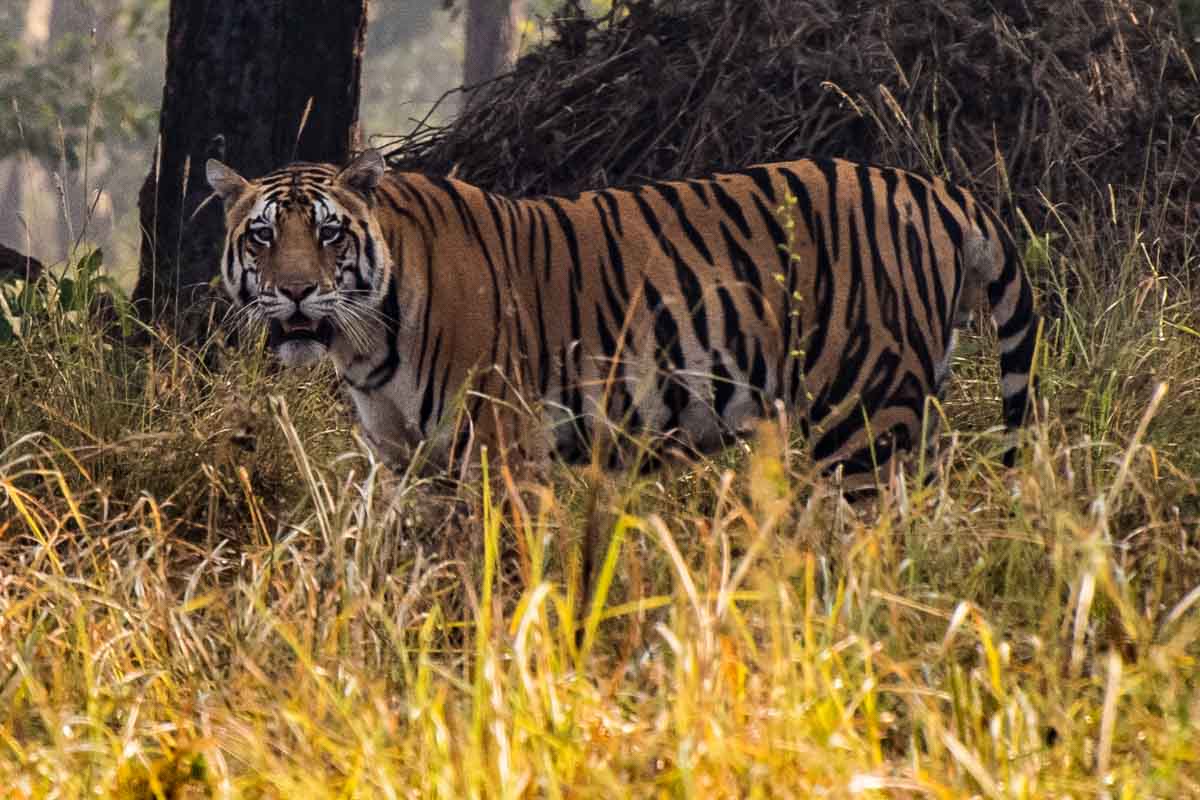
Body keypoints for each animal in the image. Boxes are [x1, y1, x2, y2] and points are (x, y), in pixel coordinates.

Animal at [206, 149, 1041, 489]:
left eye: (329, 234)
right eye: (262, 236)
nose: (296, 292)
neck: (367, 342)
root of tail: (935, 188)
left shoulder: (498, 449)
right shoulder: (406, 463)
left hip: (860, 413)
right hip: (908, 408)